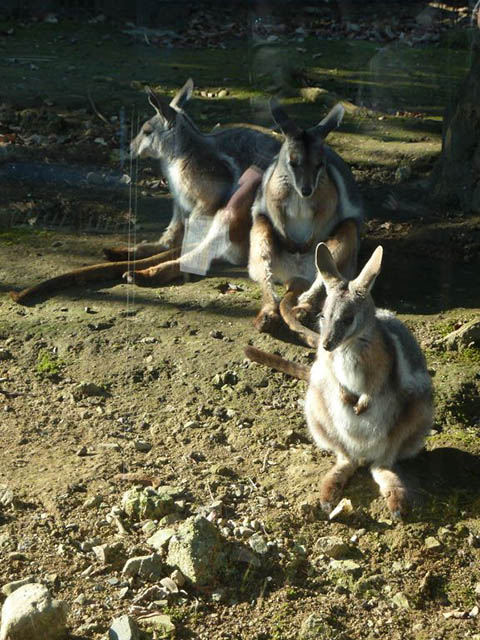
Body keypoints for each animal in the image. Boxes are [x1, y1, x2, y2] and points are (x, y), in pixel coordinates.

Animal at [246, 243, 434, 518]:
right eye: (323, 316)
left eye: (348, 319)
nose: (326, 344)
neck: (349, 345)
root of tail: (364, 454)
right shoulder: (327, 364)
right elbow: (336, 380)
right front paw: (348, 398)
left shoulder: (384, 366)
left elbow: (374, 387)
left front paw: (361, 404)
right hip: (317, 411)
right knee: (346, 459)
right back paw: (329, 495)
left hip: (417, 413)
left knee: (383, 465)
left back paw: (396, 503)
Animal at [248, 99, 364, 336]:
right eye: (293, 163)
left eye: (320, 164)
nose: (307, 190)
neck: (298, 192)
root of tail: (297, 275)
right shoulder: (273, 194)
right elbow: (277, 213)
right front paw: (292, 243)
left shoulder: (328, 198)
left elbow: (324, 215)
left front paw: (305, 242)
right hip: (260, 229)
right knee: (265, 270)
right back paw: (267, 316)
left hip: (345, 236)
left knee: (326, 277)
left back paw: (302, 308)